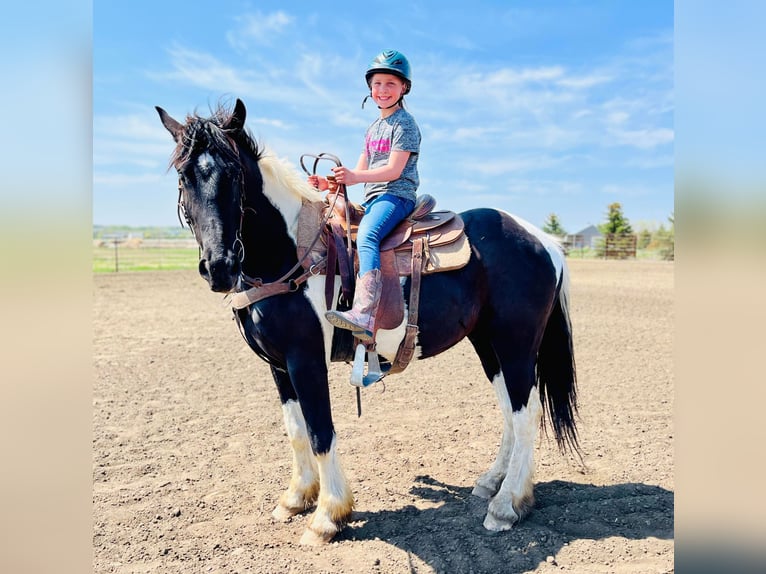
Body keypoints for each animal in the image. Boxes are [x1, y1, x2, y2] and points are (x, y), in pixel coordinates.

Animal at [156, 101, 580, 548]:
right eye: (184, 176)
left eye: (234, 174)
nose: (218, 266)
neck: (292, 254)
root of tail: (545, 242)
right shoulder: (278, 366)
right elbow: (295, 430)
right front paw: (296, 498)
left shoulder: (305, 360)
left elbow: (321, 431)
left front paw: (327, 516)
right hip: (487, 344)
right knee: (509, 410)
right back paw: (493, 483)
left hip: (517, 345)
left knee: (526, 413)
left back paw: (507, 504)